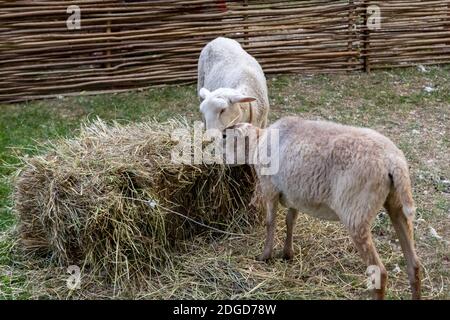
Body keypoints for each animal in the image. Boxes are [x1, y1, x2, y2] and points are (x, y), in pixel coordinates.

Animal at [229, 117, 422, 300]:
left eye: (225, 136)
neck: (259, 142)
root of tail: (393, 161)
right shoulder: (295, 195)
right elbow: (290, 221)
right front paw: (287, 253)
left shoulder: (269, 188)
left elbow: (270, 223)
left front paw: (265, 256)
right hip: (396, 204)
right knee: (414, 265)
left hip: (356, 213)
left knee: (380, 273)